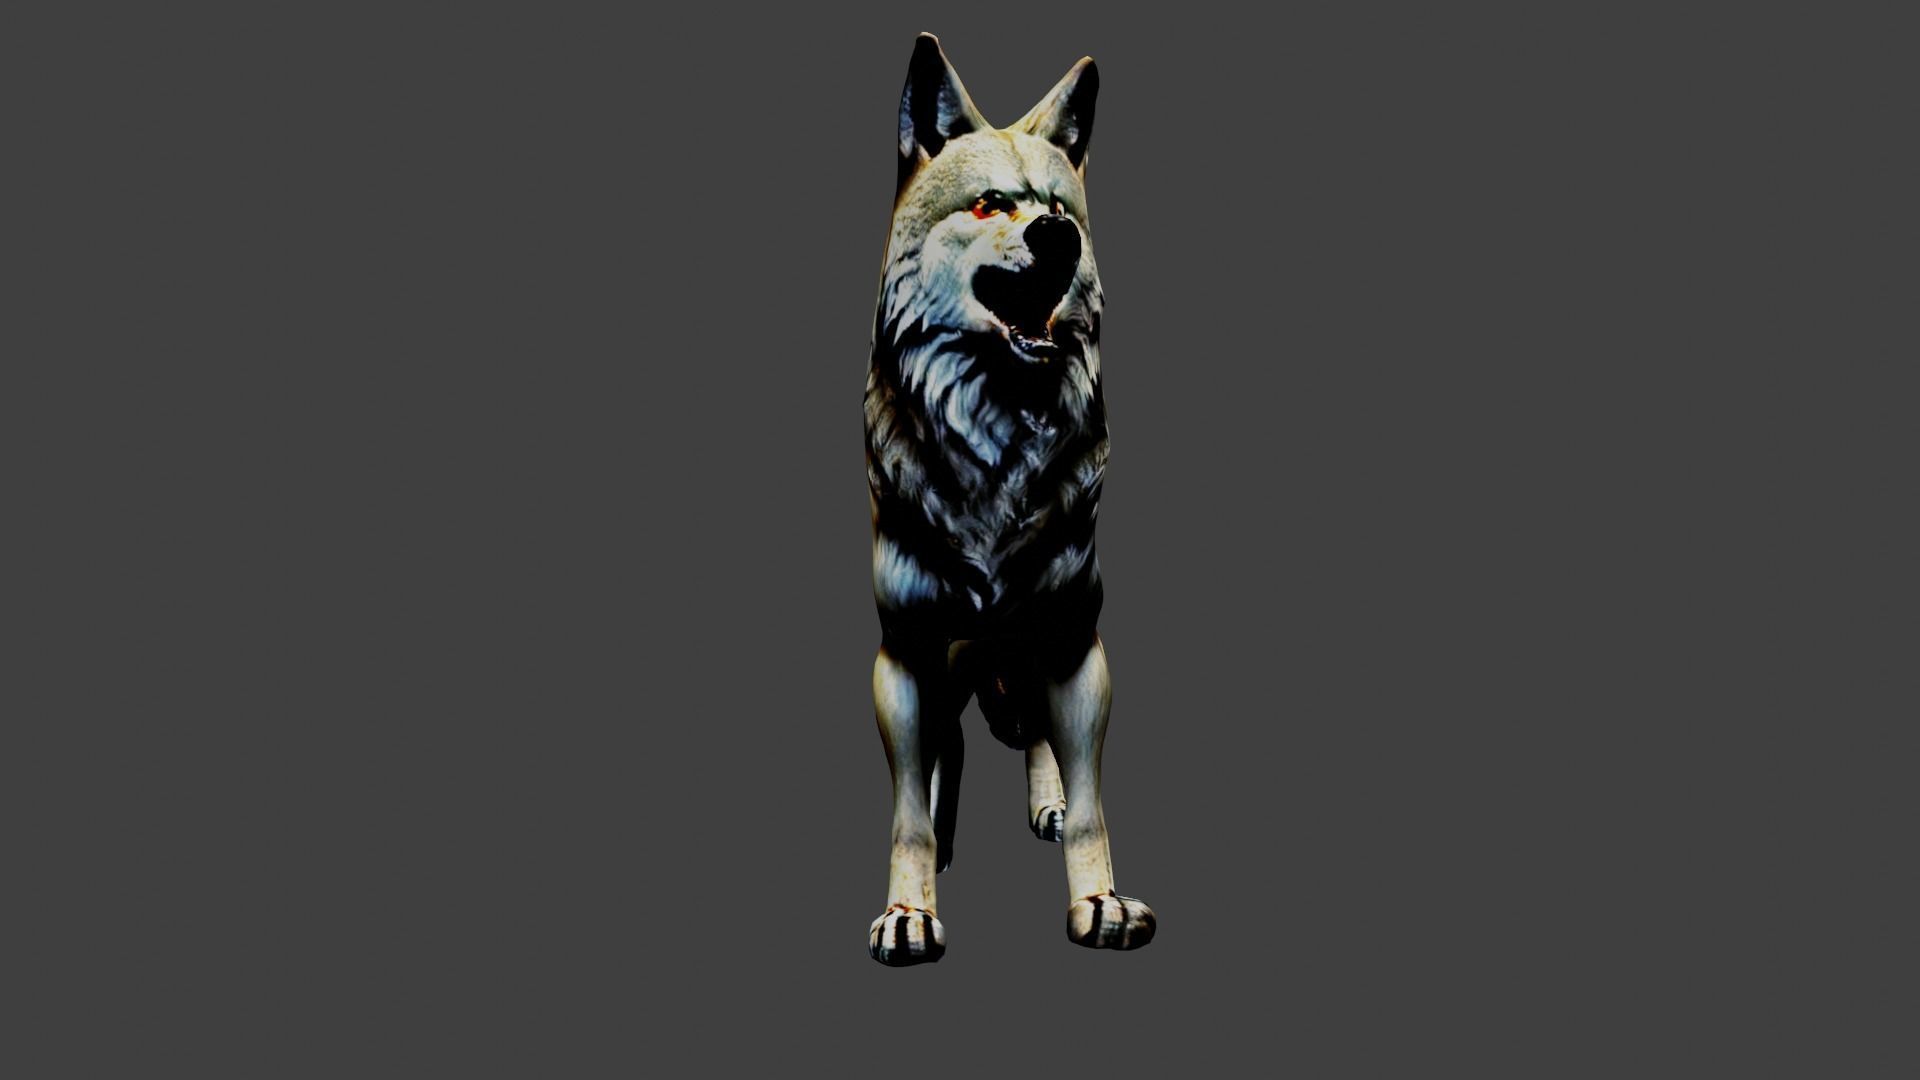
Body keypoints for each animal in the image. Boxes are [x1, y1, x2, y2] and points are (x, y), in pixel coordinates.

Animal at [863, 33, 1155, 966]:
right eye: (991, 204)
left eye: (1061, 207)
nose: (1056, 235)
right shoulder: (904, 659)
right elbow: (909, 814)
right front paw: (909, 911)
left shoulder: (1074, 646)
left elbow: (1093, 803)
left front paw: (1099, 900)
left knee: (1035, 738)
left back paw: (1046, 801)